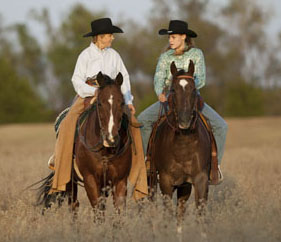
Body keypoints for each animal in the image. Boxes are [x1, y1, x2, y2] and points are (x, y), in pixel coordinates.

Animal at [149, 61, 210, 216]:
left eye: (194, 89)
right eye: (173, 90)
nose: (184, 120)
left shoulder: (200, 179)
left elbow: (200, 211)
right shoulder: (165, 181)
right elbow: (168, 212)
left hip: (184, 186)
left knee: (180, 210)